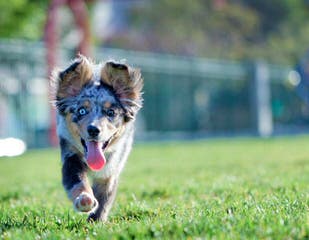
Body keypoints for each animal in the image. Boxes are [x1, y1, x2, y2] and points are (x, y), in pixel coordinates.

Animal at [50, 54, 143, 221]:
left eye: (111, 112)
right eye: (81, 111)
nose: (93, 129)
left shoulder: (110, 169)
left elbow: (104, 195)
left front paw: (96, 220)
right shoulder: (70, 156)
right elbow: (78, 181)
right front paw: (85, 199)